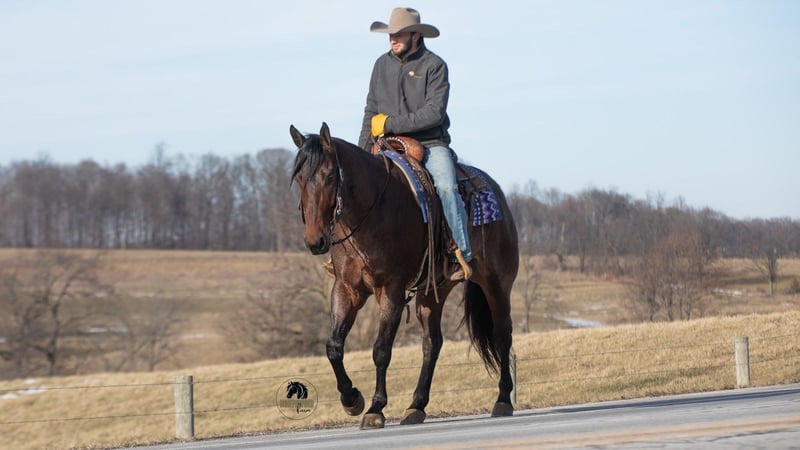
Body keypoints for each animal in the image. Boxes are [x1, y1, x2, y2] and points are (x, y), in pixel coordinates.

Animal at [289, 122, 519, 429]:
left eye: (329, 176)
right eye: (300, 178)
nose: (315, 241)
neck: (371, 211)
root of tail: (496, 191)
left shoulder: (392, 291)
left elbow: (381, 350)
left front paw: (375, 408)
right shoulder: (346, 288)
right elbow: (334, 346)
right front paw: (351, 399)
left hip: (496, 284)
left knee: (502, 334)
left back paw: (503, 400)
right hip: (433, 292)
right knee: (432, 343)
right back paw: (416, 406)